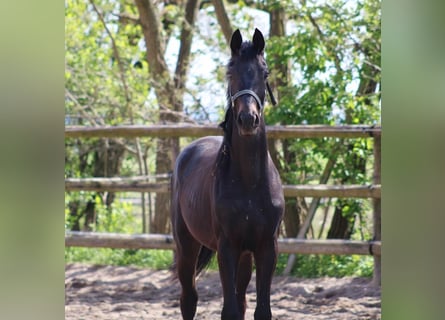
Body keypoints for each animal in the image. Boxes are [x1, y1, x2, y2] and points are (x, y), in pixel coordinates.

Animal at [170, 28, 284, 320]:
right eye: (230, 72)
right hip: (186, 245)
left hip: (245, 255)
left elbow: (260, 310)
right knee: (189, 299)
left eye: (264, 72)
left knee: (241, 299)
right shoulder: (227, 247)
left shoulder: (266, 247)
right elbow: (229, 310)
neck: (250, 182)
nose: (247, 120)